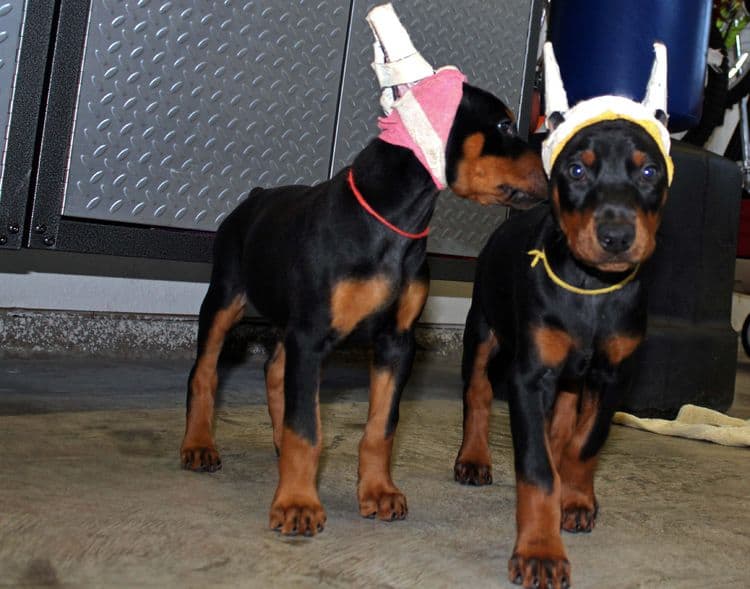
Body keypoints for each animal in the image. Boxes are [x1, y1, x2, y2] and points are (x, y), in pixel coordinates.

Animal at [458, 43, 676, 584]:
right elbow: (535, 467)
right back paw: (473, 458)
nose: (616, 237)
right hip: (483, 329)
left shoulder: (613, 375)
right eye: (577, 171)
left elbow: (586, 441)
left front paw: (575, 499)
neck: (591, 287)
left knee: (562, 422)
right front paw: (539, 550)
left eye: (648, 173)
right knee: (477, 393)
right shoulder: (529, 375)